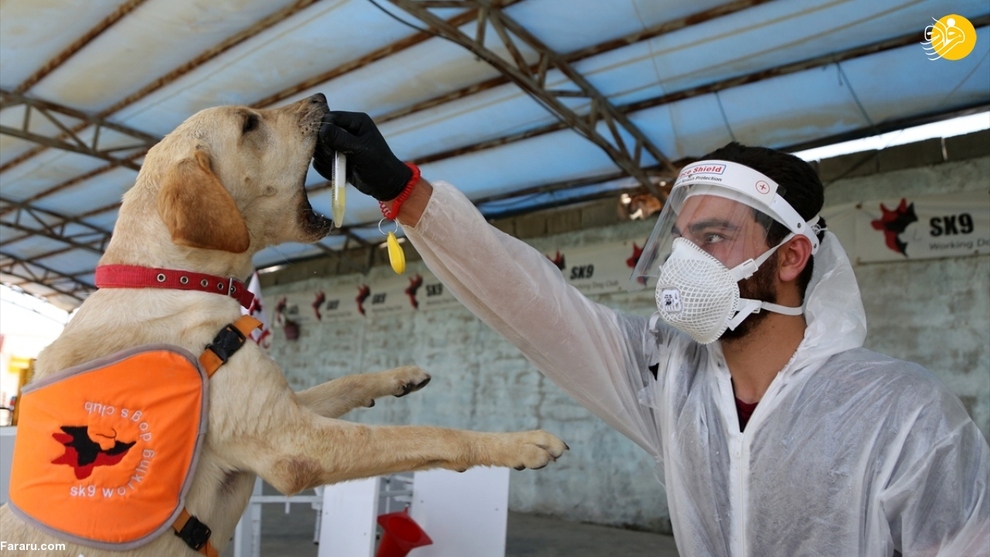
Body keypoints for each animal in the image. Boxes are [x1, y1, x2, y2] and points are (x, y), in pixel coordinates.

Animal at [0, 93, 564, 552]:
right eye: (249, 124)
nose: (322, 98)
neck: (168, 278)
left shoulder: (286, 409)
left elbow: (344, 382)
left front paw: (399, 376)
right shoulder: (294, 444)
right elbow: (425, 434)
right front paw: (518, 443)